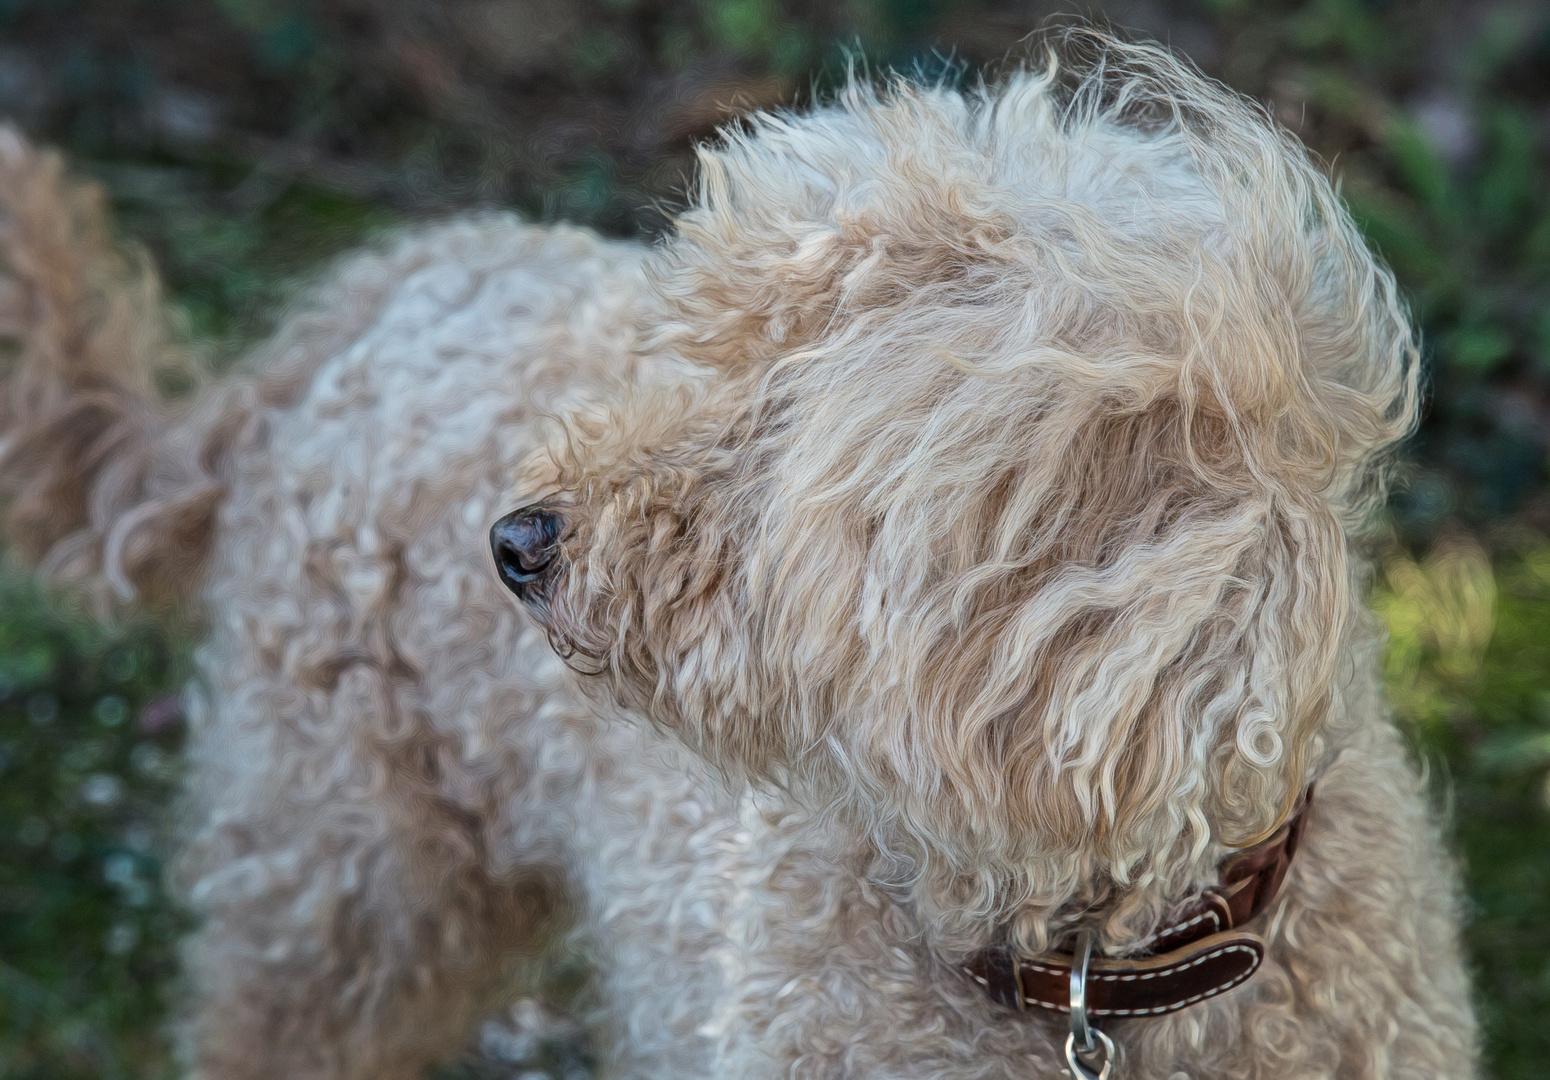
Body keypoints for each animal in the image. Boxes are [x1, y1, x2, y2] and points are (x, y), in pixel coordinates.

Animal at [0, 33, 1475, 1078]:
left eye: (791, 421)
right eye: (703, 359)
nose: (516, 542)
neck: (1086, 967)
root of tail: (372, 293)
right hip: (343, 875)